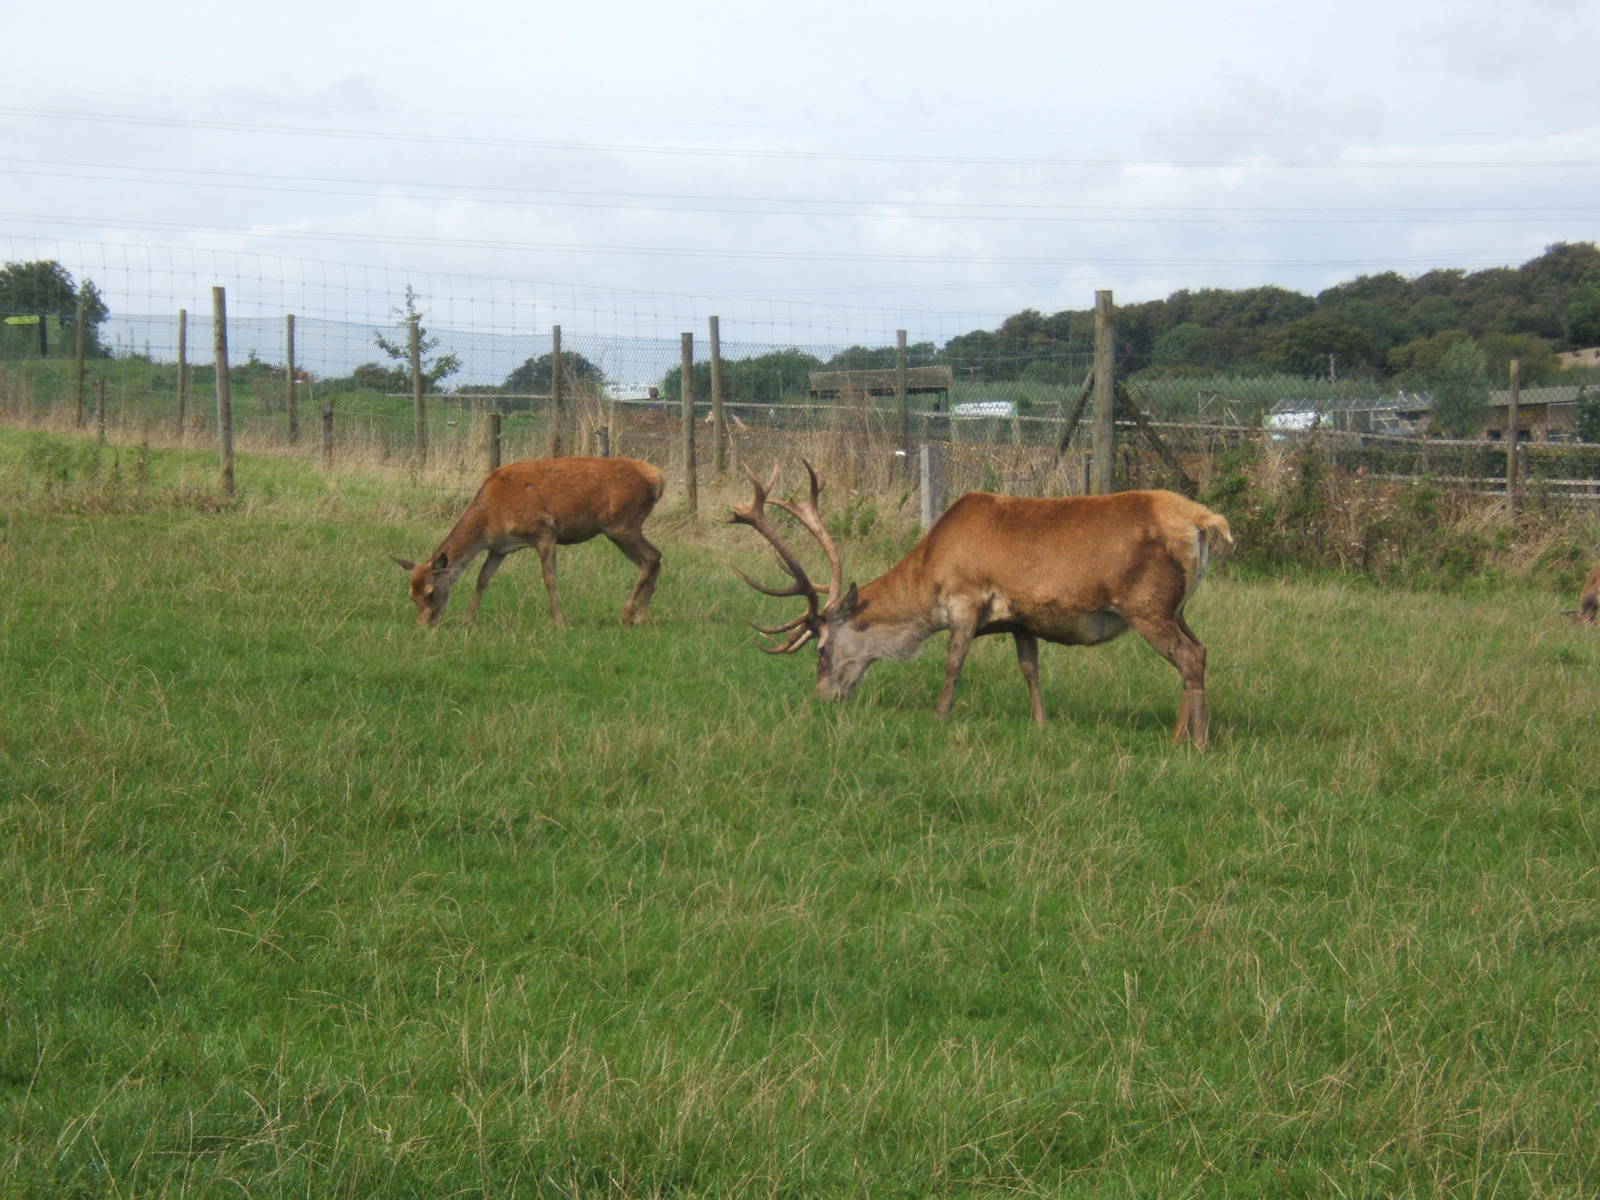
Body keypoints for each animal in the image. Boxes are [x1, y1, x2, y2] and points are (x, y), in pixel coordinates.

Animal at [393, 456, 664, 629]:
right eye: (411, 595)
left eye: (431, 592)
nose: (425, 625)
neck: (493, 517)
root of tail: (657, 477)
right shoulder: (499, 548)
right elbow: (482, 579)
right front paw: (468, 621)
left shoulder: (545, 531)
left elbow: (549, 578)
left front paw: (558, 622)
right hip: (622, 527)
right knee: (654, 558)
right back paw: (639, 617)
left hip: (622, 523)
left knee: (653, 557)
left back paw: (629, 615)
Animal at [724, 462, 1233, 748]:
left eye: (822, 648)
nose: (825, 697)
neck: (929, 578)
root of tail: (1204, 521)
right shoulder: (1023, 618)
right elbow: (1030, 670)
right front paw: (1041, 724)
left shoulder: (965, 599)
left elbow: (953, 663)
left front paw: (938, 717)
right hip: (1175, 607)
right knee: (1199, 652)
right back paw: (1178, 735)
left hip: (1146, 603)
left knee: (1190, 656)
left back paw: (1199, 744)